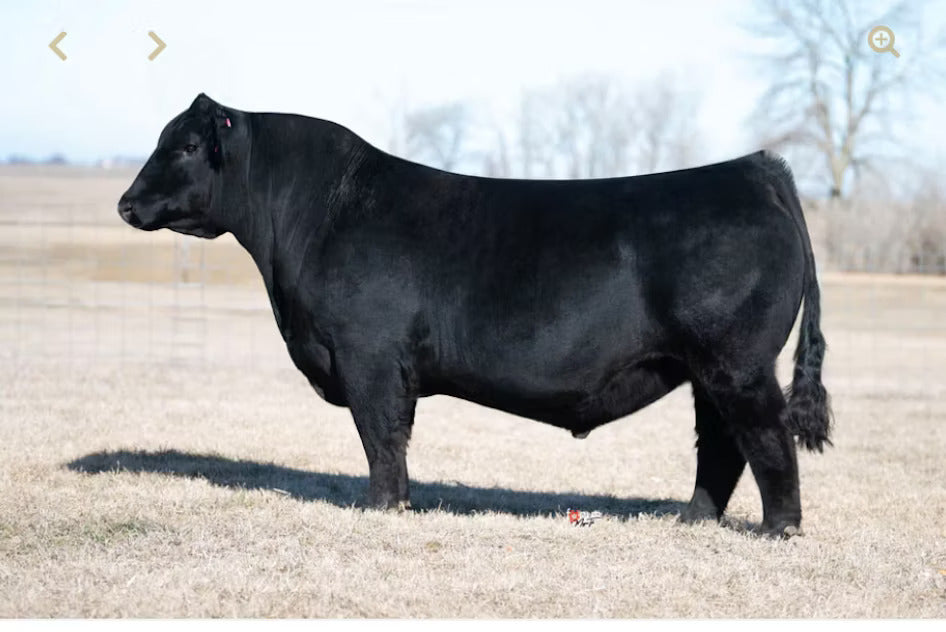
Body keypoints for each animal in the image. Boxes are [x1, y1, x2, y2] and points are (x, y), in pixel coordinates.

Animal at [118, 94, 831, 536]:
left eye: (186, 146)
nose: (125, 203)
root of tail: (755, 168)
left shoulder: (369, 357)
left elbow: (382, 439)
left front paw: (383, 510)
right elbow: (389, 440)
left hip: (736, 362)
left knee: (765, 438)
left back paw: (779, 530)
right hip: (710, 368)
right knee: (722, 445)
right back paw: (692, 520)